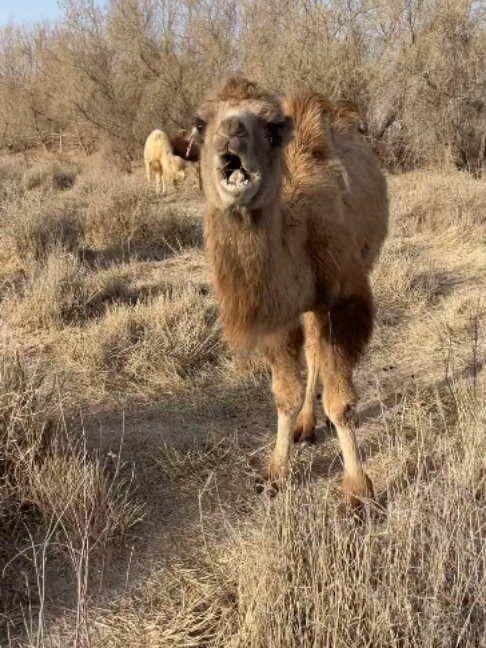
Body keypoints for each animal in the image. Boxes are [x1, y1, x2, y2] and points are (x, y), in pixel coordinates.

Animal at [193, 77, 389, 507]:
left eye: (272, 127)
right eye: (200, 123)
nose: (231, 131)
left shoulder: (344, 301)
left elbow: (341, 401)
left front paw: (357, 490)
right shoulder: (277, 314)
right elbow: (284, 394)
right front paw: (274, 473)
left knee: (317, 352)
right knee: (312, 352)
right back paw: (305, 425)